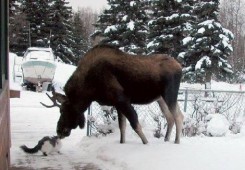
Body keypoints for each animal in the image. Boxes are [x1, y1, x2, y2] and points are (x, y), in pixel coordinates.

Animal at [42, 44, 184, 144]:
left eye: (63, 110)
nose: (59, 131)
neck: (89, 90)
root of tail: (180, 66)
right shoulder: (117, 104)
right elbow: (122, 128)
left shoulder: (122, 100)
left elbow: (135, 125)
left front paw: (146, 143)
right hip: (160, 98)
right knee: (171, 117)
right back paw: (166, 140)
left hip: (169, 94)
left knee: (178, 116)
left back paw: (176, 142)